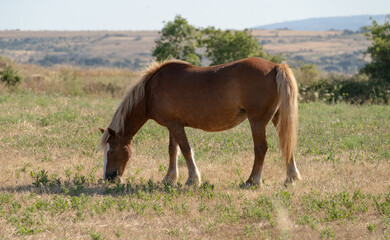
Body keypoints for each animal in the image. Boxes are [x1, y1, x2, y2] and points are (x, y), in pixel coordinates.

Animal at [99, 57, 300, 187]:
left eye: (111, 151)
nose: (108, 178)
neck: (151, 90)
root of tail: (276, 66)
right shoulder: (173, 125)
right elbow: (173, 151)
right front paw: (169, 178)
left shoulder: (175, 126)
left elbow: (186, 150)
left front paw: (192, 179)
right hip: (277, 118)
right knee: (287, 143)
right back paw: (291, 178)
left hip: (257, 121)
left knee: (261, 148)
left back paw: (252, 181)